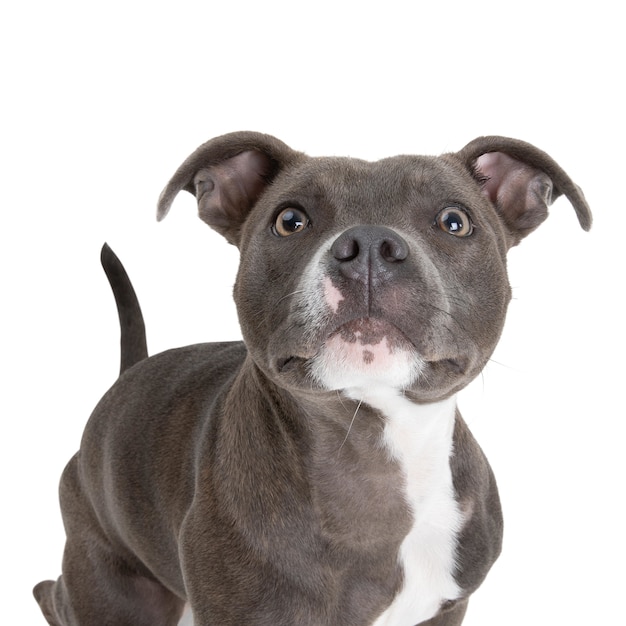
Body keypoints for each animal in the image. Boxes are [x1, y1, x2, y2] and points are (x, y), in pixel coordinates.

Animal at [34, 133, 588, 624]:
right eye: (289, 220)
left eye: (455, 221)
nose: (370, 244)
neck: (374, 444)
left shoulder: (447, 610)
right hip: (112, 588)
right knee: (60, 595)